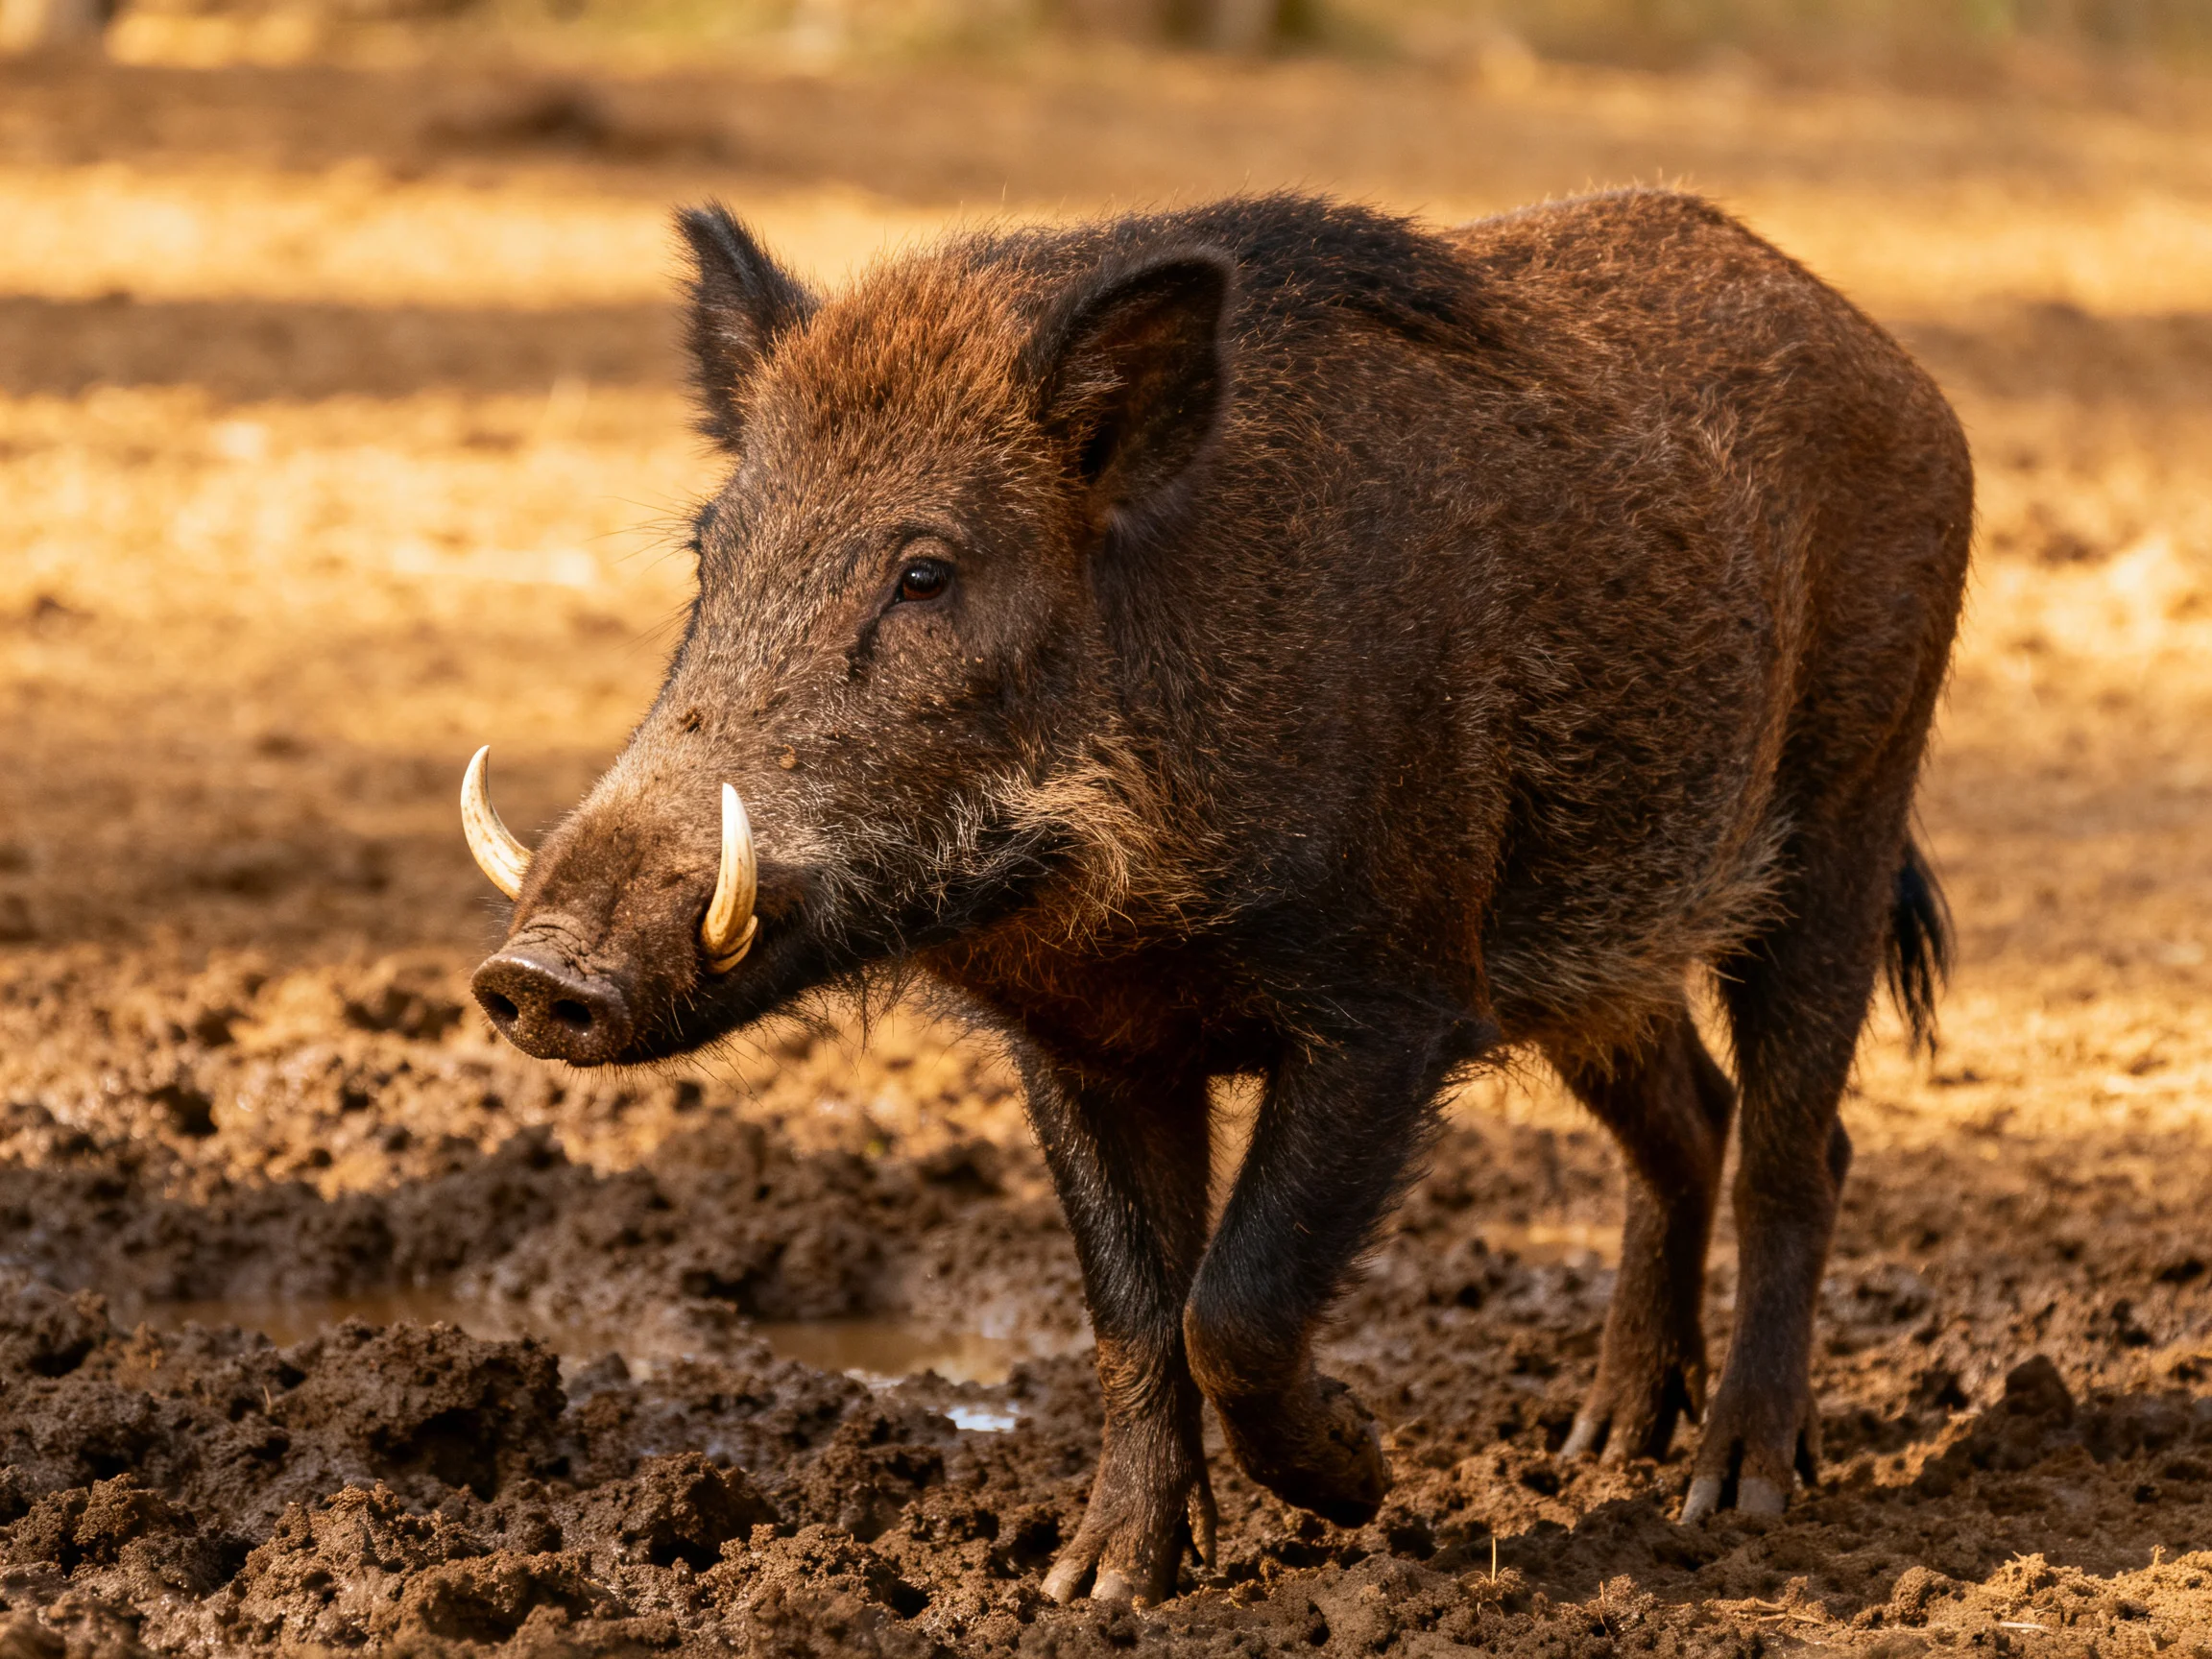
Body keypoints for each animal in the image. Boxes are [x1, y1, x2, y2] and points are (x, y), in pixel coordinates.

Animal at [462, 190, 1969, 1604]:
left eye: (926, 571)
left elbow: (1231, 1304)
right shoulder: (1082, 1044)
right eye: (708, 557)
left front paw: (1359, 1480)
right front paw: (1097, 1584)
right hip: (1597, 951)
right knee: (1691, 1119)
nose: (534, 976)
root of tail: (1893, 362)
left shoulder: (1393, 1004)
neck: (1112, 900)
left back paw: (1736, 1494)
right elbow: (1131, 1310)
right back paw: (1600, 1447)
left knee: (1796, 1149)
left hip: (1848, 809)